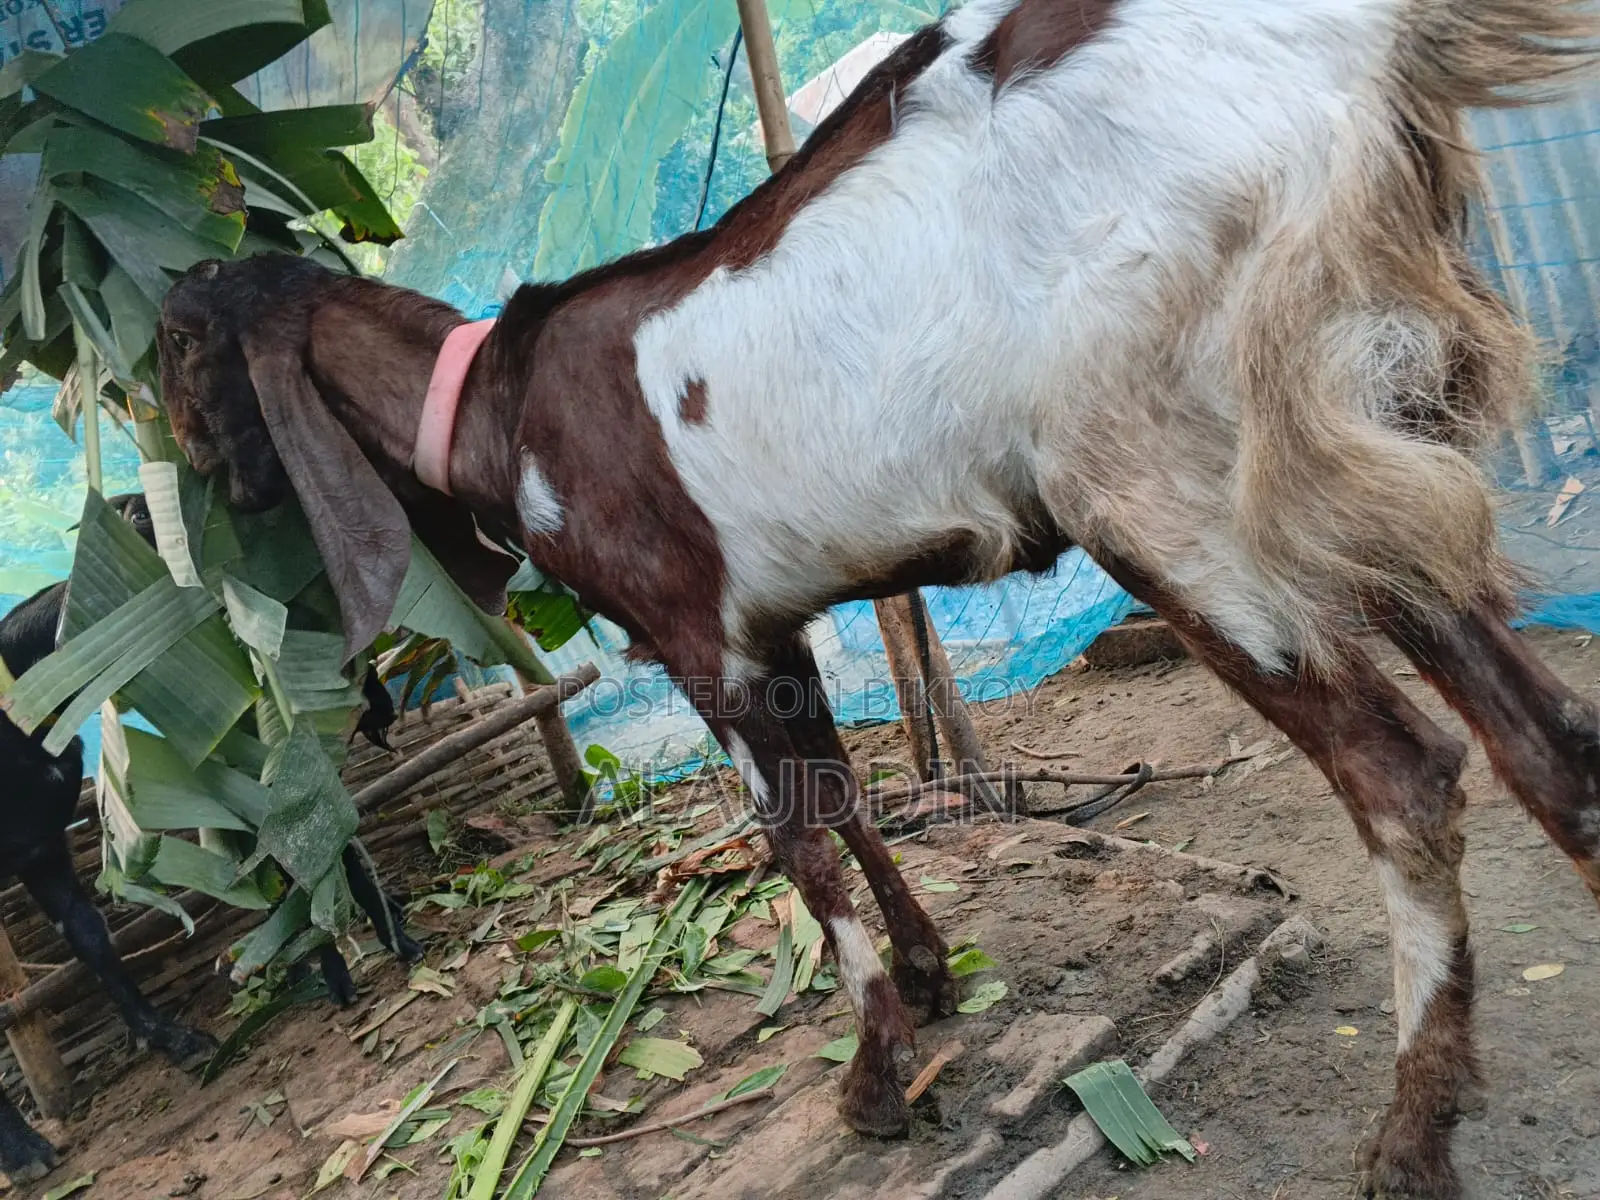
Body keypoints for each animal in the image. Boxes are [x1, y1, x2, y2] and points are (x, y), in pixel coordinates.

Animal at [155, 1, 1596, 1195]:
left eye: (178, 349)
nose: (193, 471)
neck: (501, 409)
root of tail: (1355, 41)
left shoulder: (697, 634)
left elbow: (790, 839)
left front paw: (873, 1079)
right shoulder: (776, 623)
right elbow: (844, 792)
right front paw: (925, 976)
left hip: (1168, 470)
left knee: (1403, 767)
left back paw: (1409, 1138)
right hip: (1342, 417)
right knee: (1546, 736)